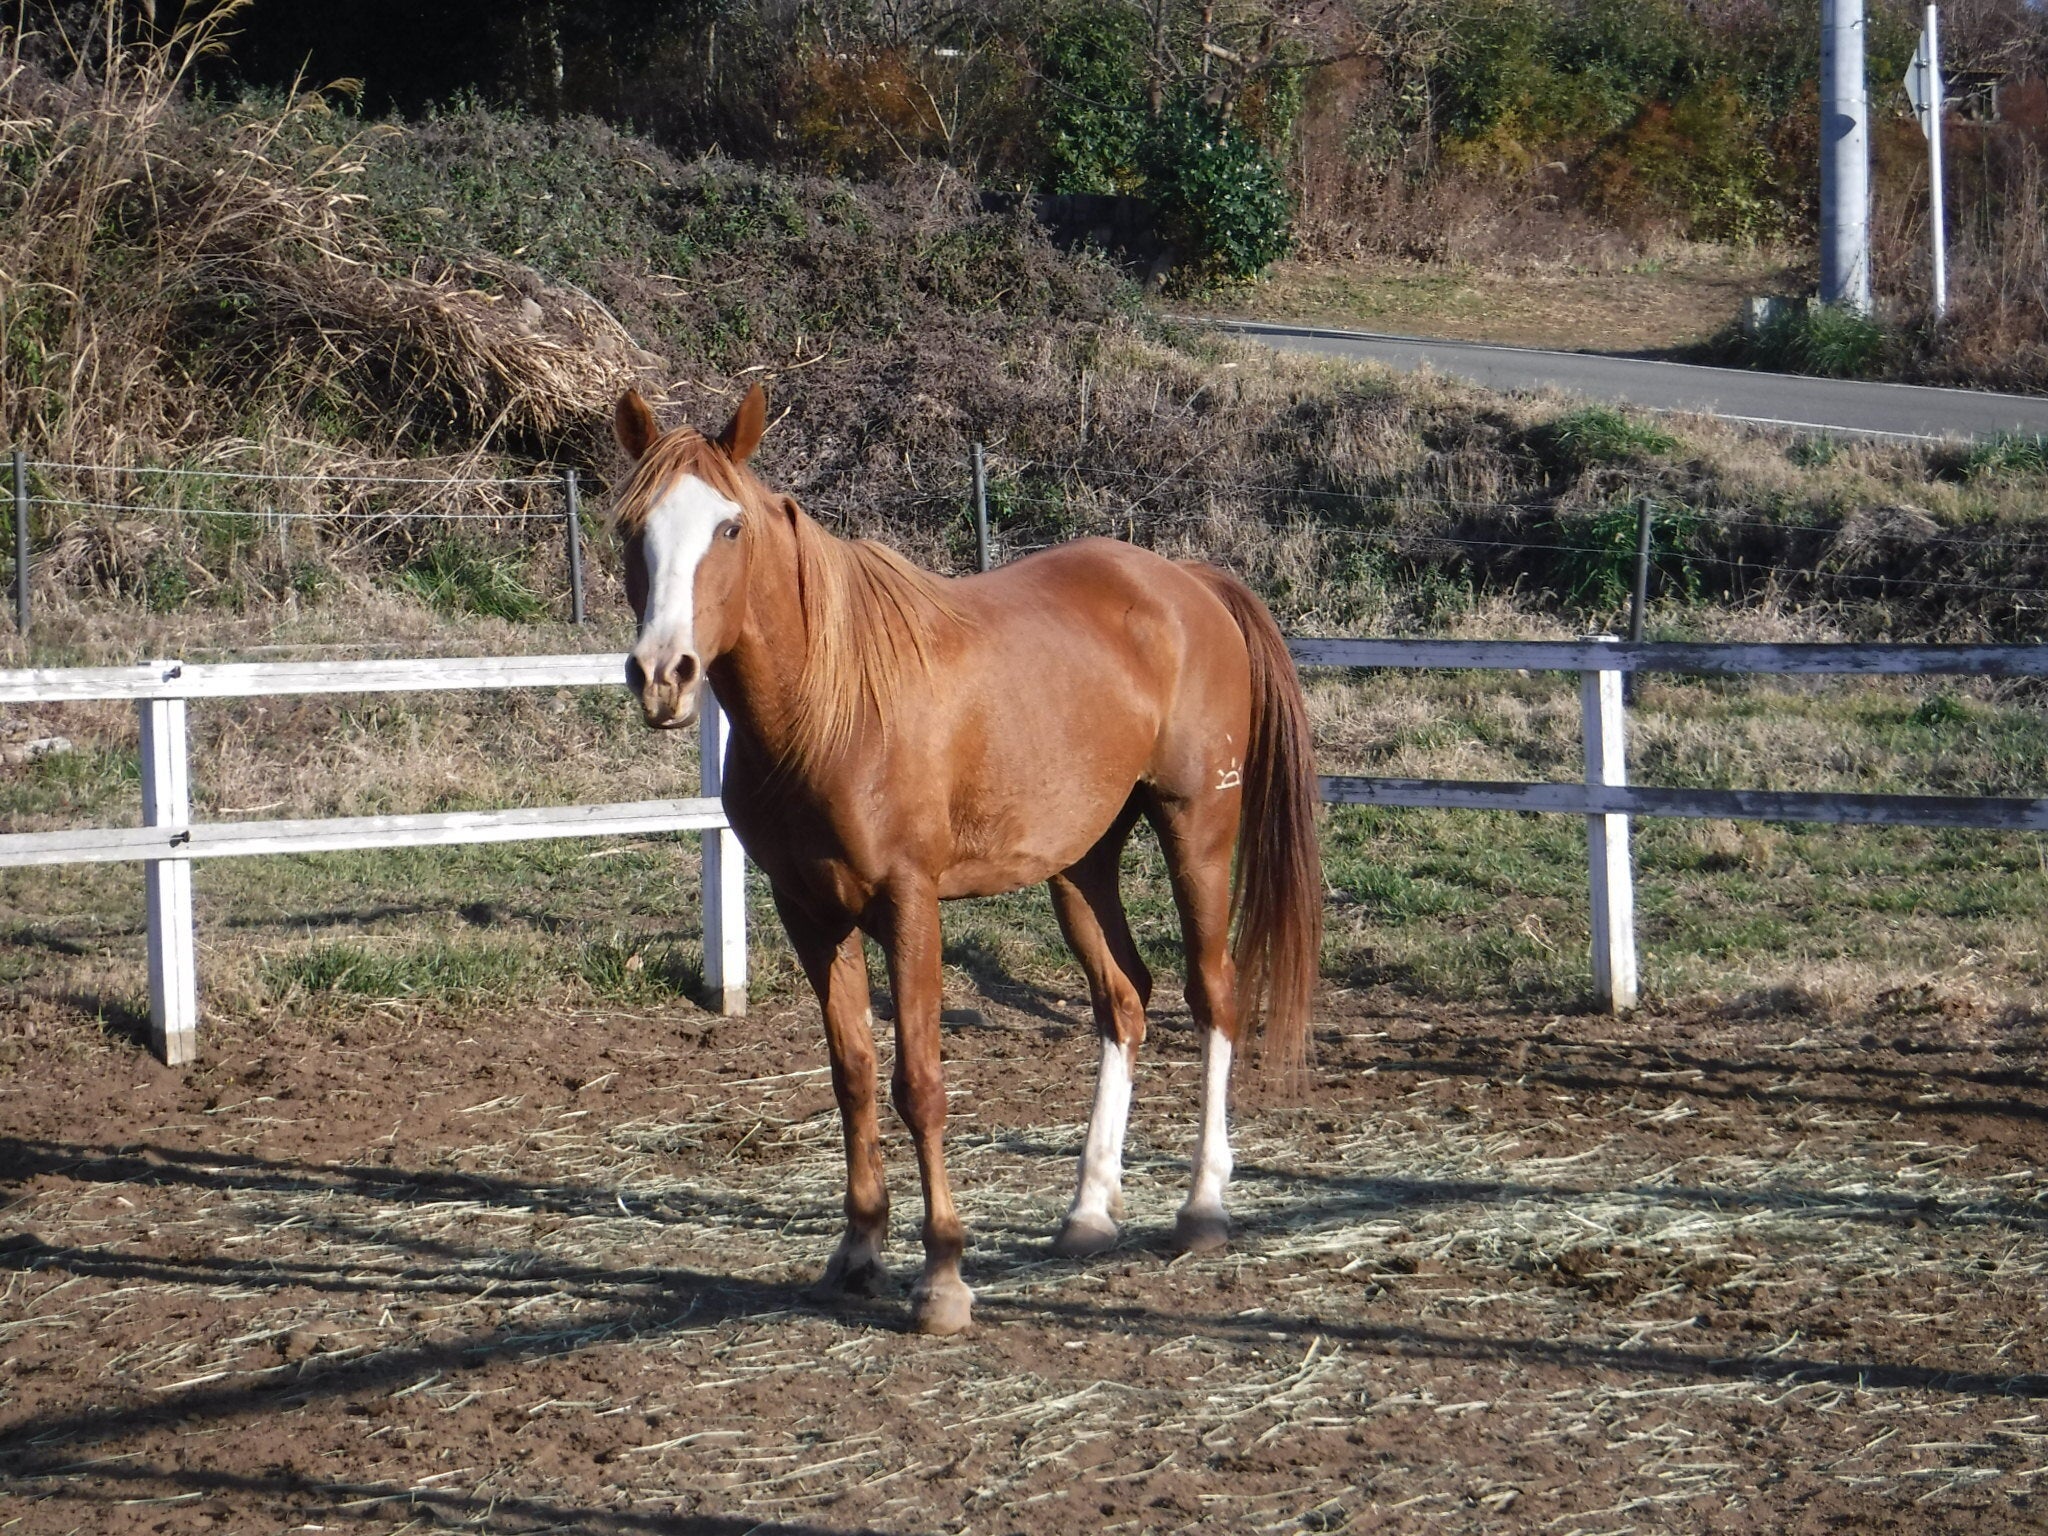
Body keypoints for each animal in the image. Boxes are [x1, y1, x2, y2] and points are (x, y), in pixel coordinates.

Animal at [610, 384, 1322, 1335]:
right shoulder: (809, 912)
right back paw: (1089, 1209)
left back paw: (1203, 1205)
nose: (664, 674)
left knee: (1214, 997)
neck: (832, 708)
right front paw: (857, 1252)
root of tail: (1188, 582)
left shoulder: (910, 905)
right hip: (1080, 863)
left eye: (729, 527)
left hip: (1197, 830)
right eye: (632, 528)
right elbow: (853, 1078)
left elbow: (919, 1083)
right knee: (1124, 1001)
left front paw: (942, 1276)